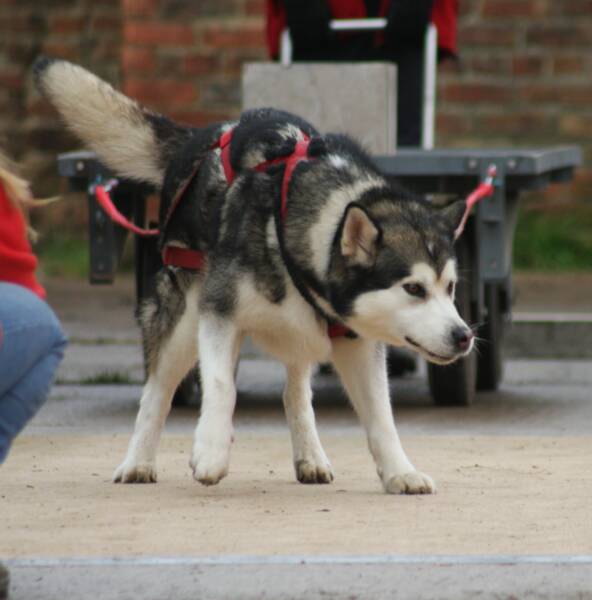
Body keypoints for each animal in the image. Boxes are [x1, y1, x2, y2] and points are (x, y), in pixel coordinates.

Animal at [34, 58, 474, 494]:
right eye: (414, 288)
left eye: (450, 287)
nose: (464, 336)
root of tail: (203, 135)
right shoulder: (218, 311)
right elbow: (220, 384)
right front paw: (210, 452)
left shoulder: (356, 340)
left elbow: (382, 417)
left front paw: (400, 471)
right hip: (184, 315)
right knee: (158, 390)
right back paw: (138, 462)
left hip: (297, 332)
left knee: (294, 390)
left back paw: (310, 455)